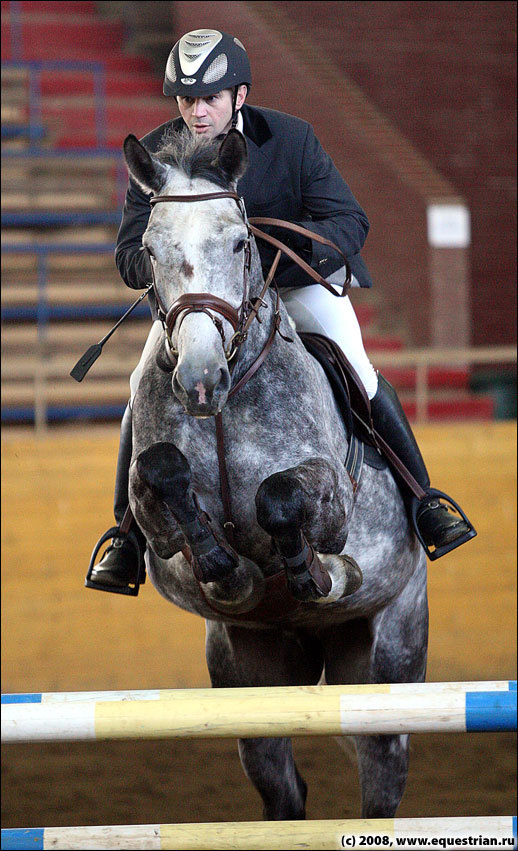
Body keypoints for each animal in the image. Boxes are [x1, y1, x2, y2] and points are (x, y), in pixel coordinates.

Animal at [124, 130, 428, 824]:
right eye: (150, 249)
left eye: (241, 242)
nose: (200, 380)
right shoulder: (155, 526)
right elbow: (164, 475)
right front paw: (226, 567)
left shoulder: (331, 500)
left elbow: (280, 495)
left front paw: (314, 572)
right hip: (250, 674)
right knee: (280, 786)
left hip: (387, 656)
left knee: (381, 776)